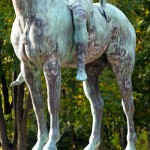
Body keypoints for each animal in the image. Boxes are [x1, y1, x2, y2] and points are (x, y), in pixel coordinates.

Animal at [11, 0, 137, 150]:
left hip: (122, 68)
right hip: (91, 73)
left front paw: (51, 142)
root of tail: (125, 20)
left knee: (128, 105)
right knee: (97, 105)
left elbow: (53, 104)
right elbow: (38, 106)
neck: (29, 17)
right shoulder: (29, 69)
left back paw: (130, 144)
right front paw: (40, 143)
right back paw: (92, 144)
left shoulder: (51, 66)